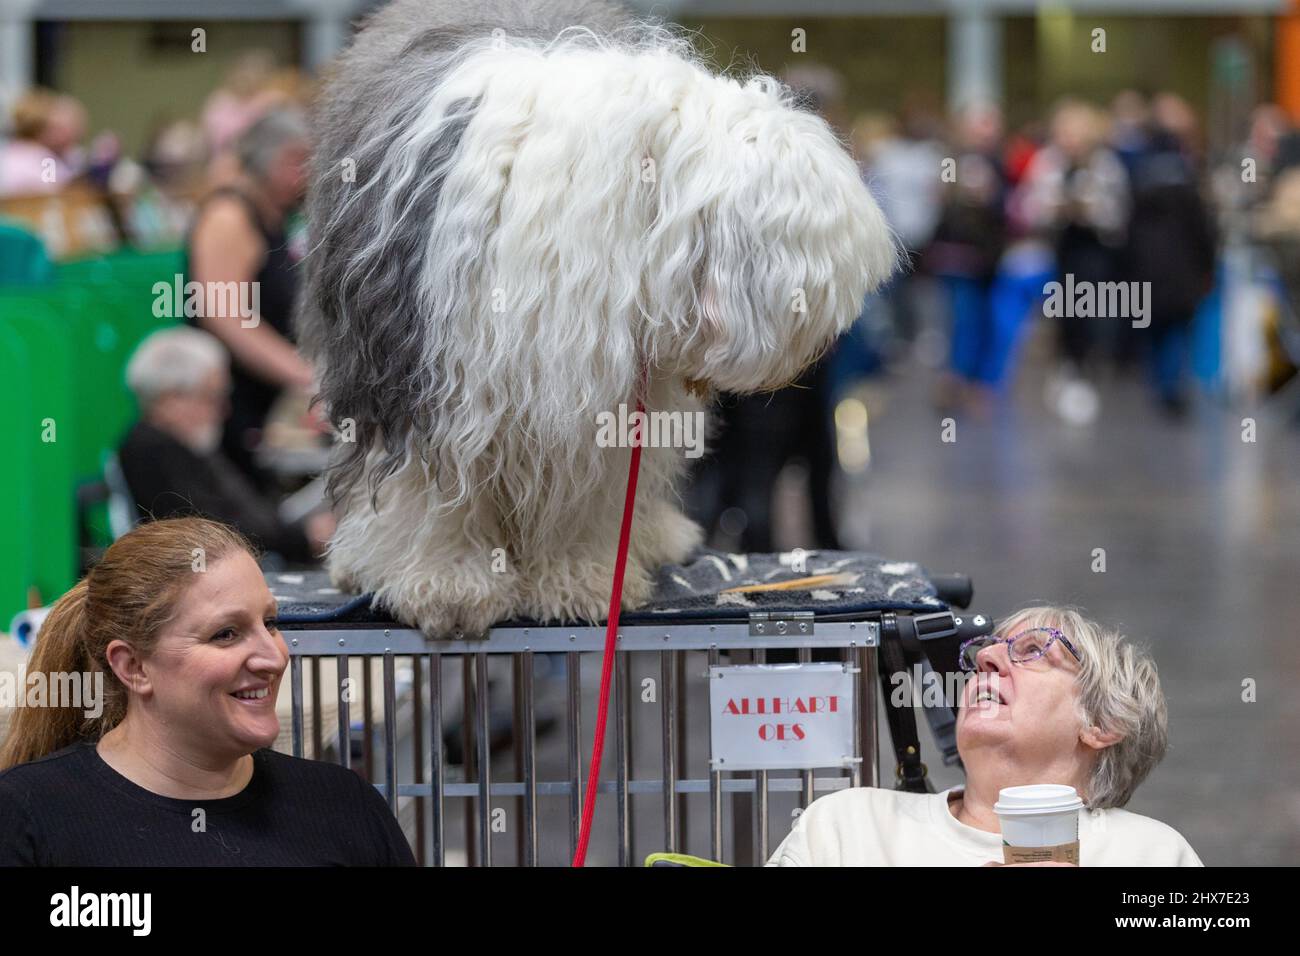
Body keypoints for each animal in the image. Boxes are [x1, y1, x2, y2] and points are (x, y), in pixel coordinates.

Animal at [299, 1, 899, 642]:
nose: (828, 343)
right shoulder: (418, 372)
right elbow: (430, 488)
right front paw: (447, 585)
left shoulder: (602, 392)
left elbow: (586, 491)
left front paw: (578, 582)